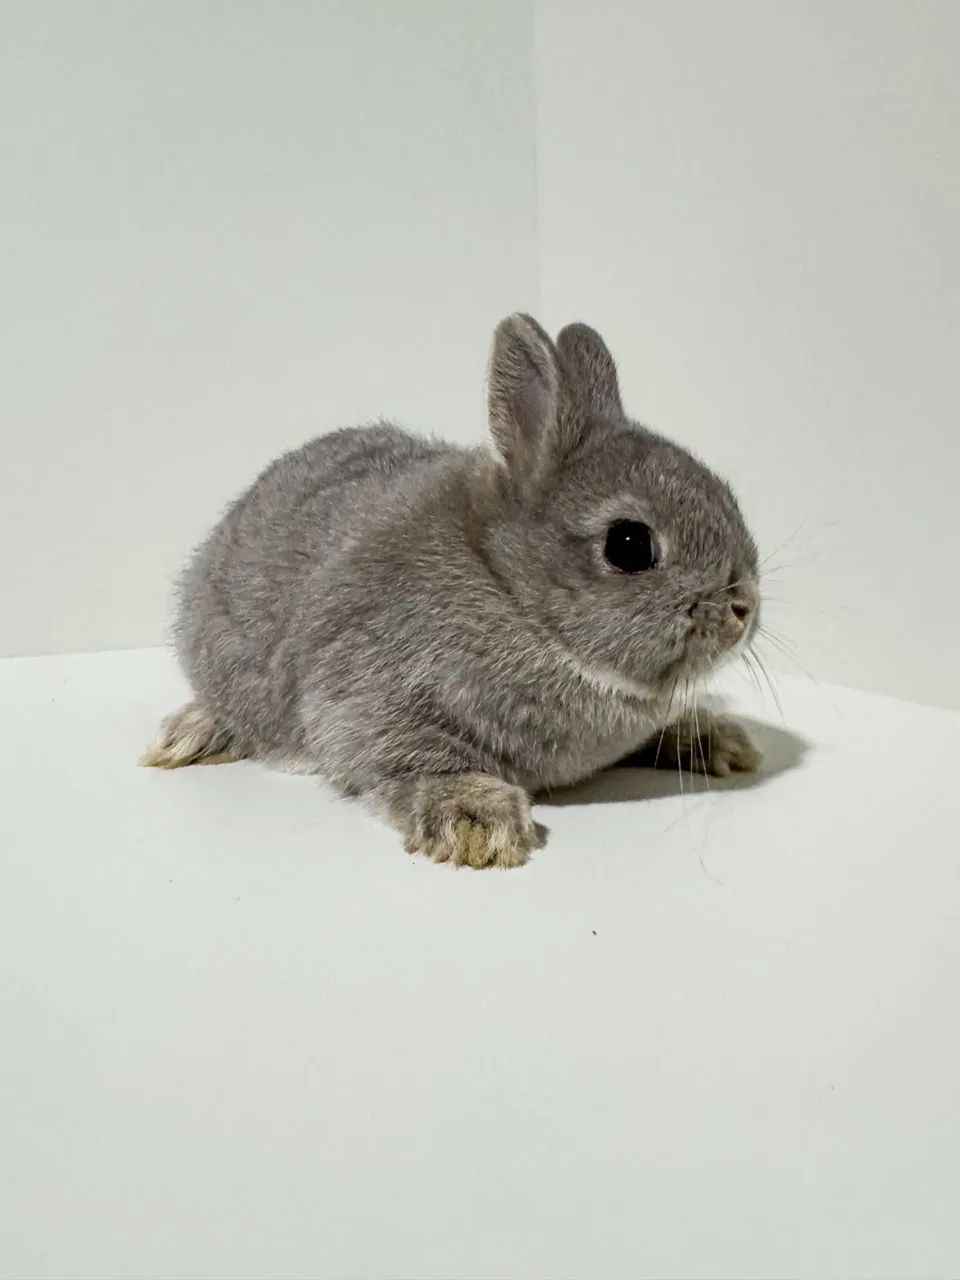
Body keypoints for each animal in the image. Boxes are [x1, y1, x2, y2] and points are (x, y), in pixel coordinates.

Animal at [142, 314, 761, 868]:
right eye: (630, 545)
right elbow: (408, 755)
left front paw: (719, 744)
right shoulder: (366, 687)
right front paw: (478, 822)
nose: (743, 608)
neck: (511, 594)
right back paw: (190, 735)